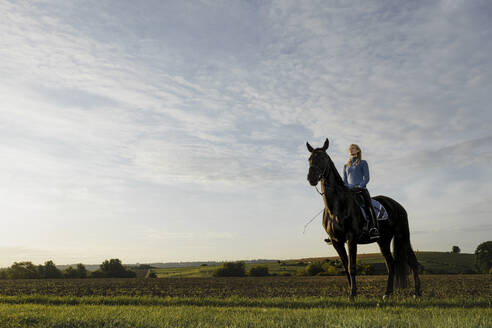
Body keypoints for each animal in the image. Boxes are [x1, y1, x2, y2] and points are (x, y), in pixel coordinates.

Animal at [306, 138, 420, 300]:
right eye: (309, 159)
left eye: (323, 158)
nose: (311, 178)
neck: (336, 206)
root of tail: (398, 205)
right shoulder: (336, 242)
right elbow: (345, 267)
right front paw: (351, 292)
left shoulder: (351, 238)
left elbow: (352, 267)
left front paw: (353, 294)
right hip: (383, 240)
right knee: (391, 264)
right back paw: (387, 293)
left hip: (402, 236)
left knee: (412, 262)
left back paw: (417, 293)